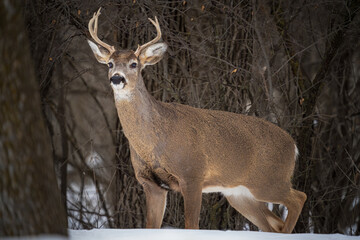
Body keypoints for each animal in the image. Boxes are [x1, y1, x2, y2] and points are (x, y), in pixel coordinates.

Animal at [87, 8, 306, 233]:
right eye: (110, 63)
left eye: (134, 64)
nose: (116, 78)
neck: (154, 143)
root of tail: (293, 145)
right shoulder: (150, 184)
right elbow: (151, 226)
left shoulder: (192, 175)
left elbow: (191, 226)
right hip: (240, 194)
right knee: (275, 223)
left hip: (268, 181)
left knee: (299, 198)